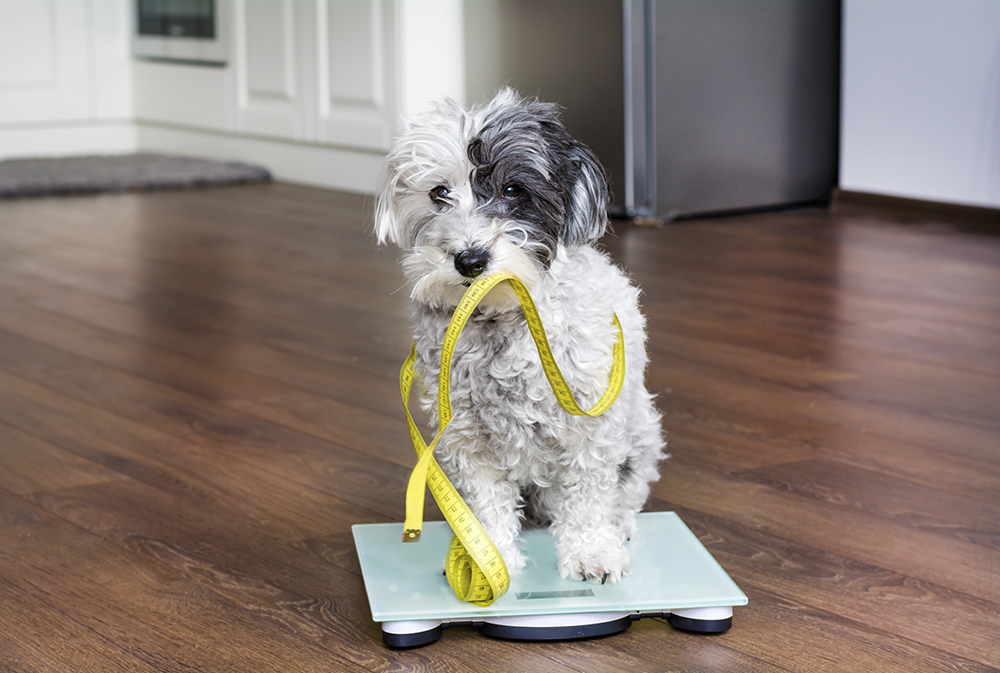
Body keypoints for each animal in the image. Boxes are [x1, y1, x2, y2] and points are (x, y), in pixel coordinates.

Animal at [374, 89, 664, 584]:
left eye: (513, 190)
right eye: (439, 193)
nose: (470, 260)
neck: (502, 321)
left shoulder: (590, 427)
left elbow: (588, 497)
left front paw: (592, 551)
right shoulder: (465, 437)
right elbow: (487, 506)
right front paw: (486, 561)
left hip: (642, 434)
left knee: (626, 492)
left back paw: (620, 525)